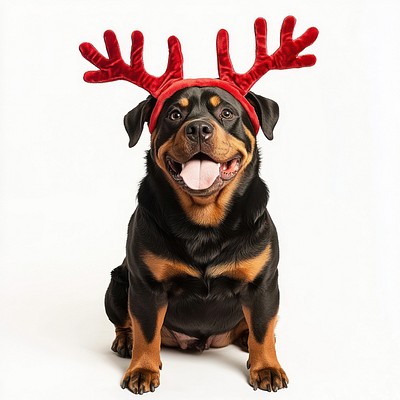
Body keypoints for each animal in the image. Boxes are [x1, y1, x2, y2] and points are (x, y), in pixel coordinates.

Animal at [104, 85, 288, 394]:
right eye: (174, 115)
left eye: (226, 113)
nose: (199, 128)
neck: (205, 222)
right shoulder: (146, 286)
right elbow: (146, 332)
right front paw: (142, 369)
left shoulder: (261, 284)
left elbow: (263, 329)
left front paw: (266, 367)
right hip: (117, 284)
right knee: (128, 323)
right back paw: (125, 340)